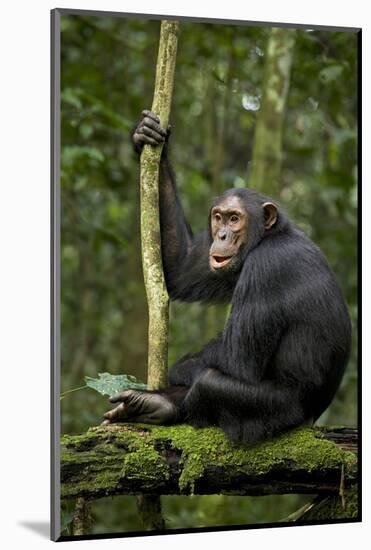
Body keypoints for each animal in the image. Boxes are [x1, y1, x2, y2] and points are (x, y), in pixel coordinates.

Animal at [102, 110, 352, 446]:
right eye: (218, 217)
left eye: (235, 219)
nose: (221, 235)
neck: (266, 239)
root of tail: (311, 419)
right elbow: (180, 269)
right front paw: (148, 135)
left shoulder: (267, 268)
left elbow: (237, 362)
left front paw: (180, 368)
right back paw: (151, 405)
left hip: (278, 413)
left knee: (210, 381)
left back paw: (164, 404)